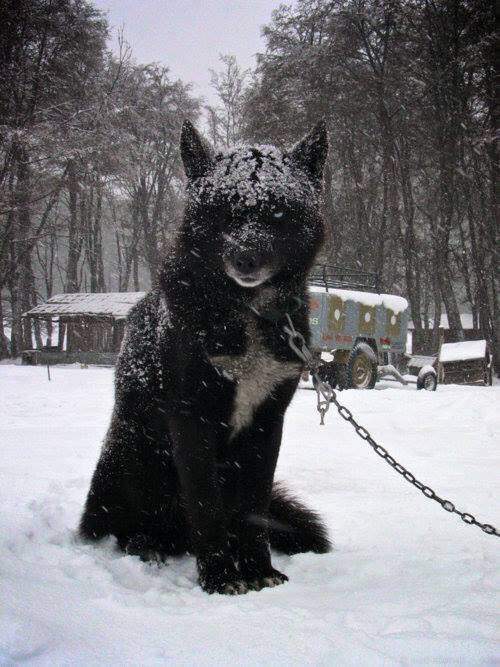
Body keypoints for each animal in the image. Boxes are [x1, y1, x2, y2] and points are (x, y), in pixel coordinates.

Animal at [80, 120, 331, 594]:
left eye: (277, 213)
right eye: (224, 212)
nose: (246, 258)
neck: (244, 311)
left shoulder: (268, 422)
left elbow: (254, 510)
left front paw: (258, 569)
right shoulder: (190, 419)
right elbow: (205, 507)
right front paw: (220, 578)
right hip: (133, 453)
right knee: (125, 527)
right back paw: (147, 545)